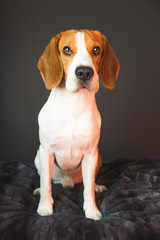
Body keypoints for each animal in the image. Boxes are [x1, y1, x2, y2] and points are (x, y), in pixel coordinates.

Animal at [33, 29, 119, 220]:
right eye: (66, 50)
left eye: (96, 50)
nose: (84, 72)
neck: (74, 105)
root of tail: (67, 180)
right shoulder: (46, 151)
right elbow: (46, 185)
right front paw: (45, 206)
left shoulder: (90, 154)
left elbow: (88, 189)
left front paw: (92, 210)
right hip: (38, 157)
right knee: (48, 179)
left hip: (98, 157)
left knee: (89, 181)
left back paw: (96, 186)